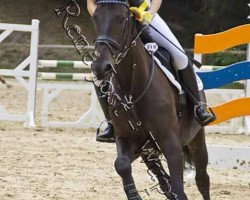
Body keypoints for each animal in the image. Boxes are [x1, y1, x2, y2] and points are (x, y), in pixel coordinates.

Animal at [91, 1, 210, 200]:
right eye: (95, 18)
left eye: (122, 19)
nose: (100, 67)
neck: (132, 87)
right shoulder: (127, 139)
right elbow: (121, 164)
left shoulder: (170, 142)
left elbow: (178, 189)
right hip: (147, 150)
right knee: (162, 179)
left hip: (196, 138)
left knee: (202, 179)